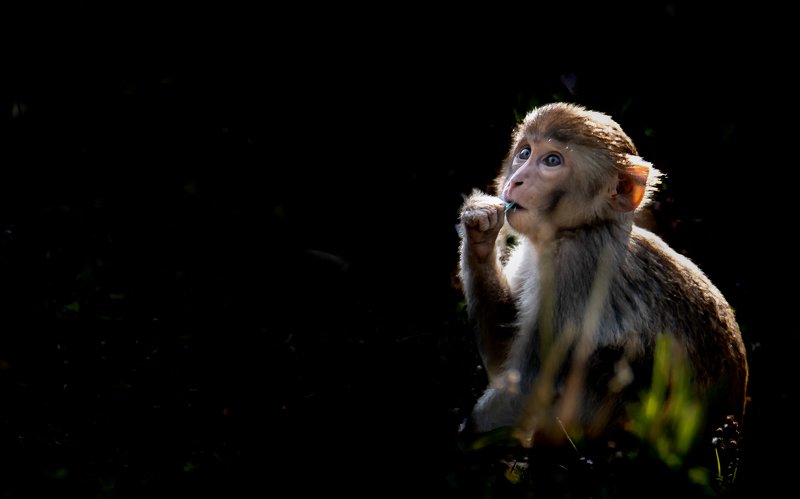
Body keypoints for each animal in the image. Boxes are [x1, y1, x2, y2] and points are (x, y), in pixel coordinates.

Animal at [456, 102, 748, 456]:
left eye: (552, 161)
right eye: (524, 153)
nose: (517, 180)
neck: (579, 229)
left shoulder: (577, 267)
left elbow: (528, 386)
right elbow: (503, 359)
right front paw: (480, 230)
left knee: (605, 362)